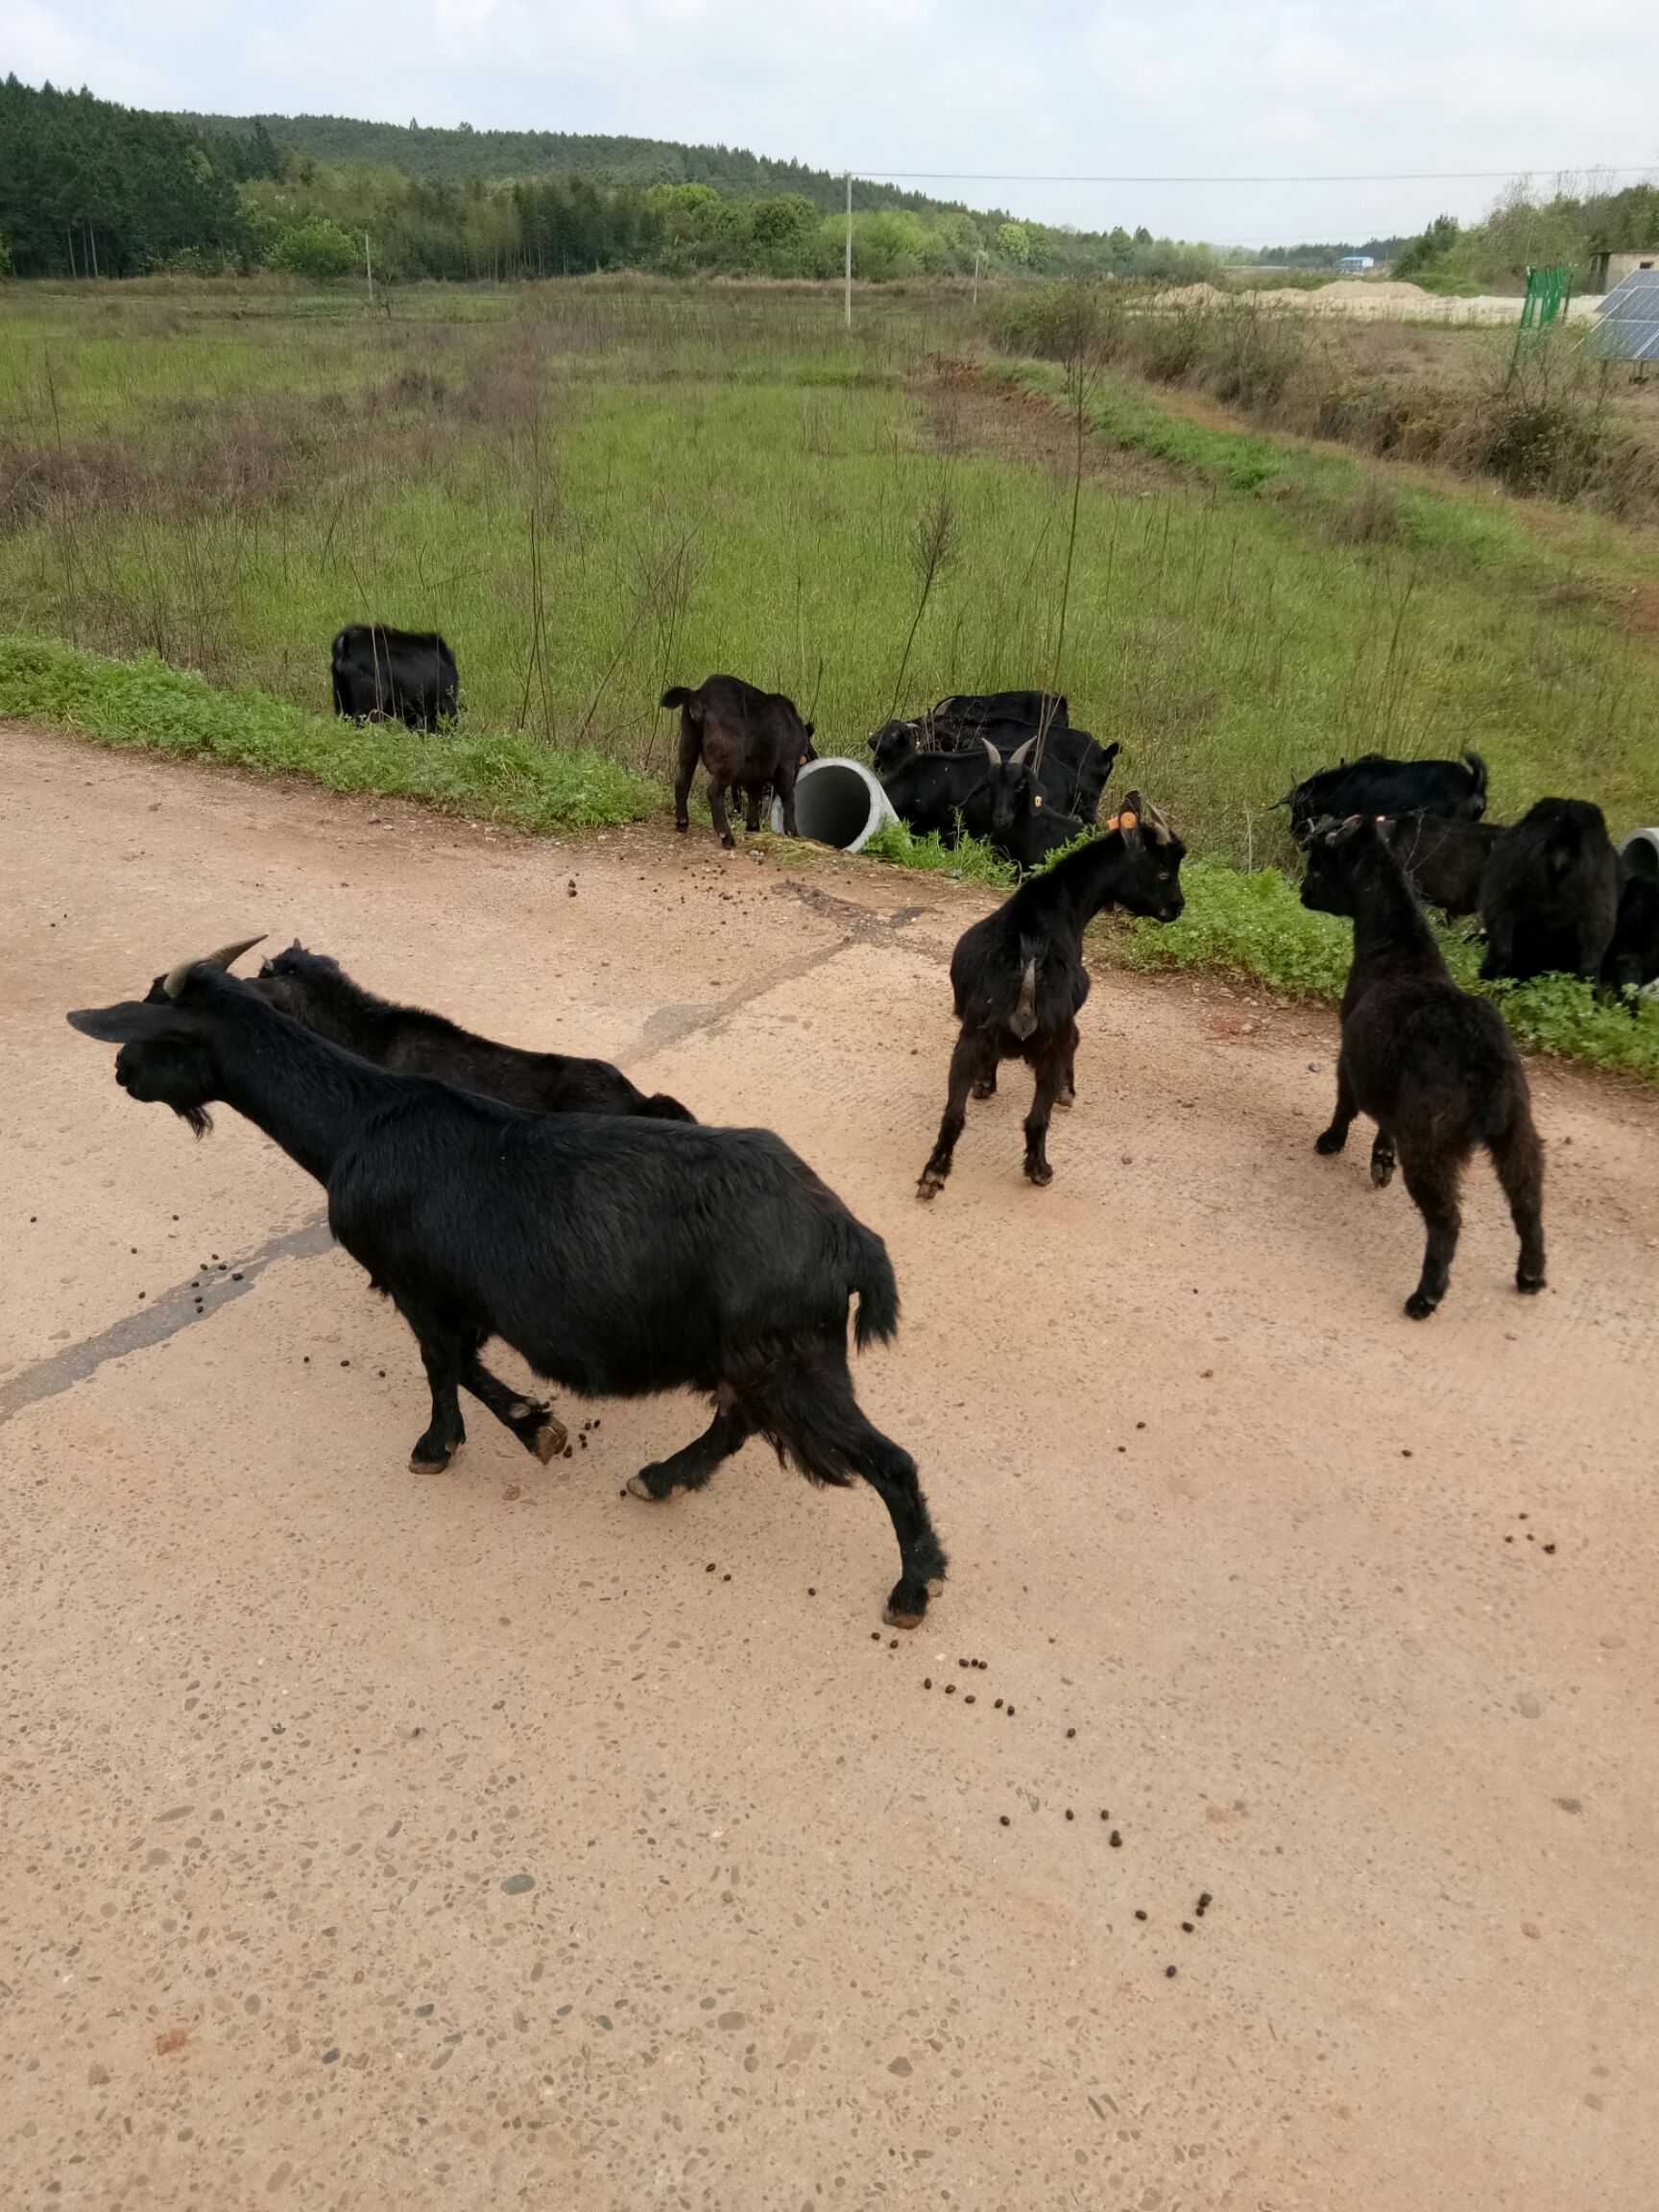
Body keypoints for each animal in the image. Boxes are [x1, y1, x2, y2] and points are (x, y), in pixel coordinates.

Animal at [925, 796, 1185, 1203]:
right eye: (1162, 872)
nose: (1178, 906)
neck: (1061, 900)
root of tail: (1026, 987)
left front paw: (985, 1084)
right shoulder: (1071, 1020)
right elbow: (1078, 1040)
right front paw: (1067, 1091)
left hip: (968, 1040)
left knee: (953, 1114)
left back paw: (933, 1176)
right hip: (1050, 1045)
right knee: (1037, 1118)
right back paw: (1040, 1170)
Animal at [1300, 823, 1548, 1318]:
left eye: (1319, 867)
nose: (1300, 891)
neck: (1400, 950)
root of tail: (1485, 1068)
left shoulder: (1351, 1055)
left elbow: (1346, 1104)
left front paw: (1331, 1142)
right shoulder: (1388, 1083)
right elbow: (1383, 1123)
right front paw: (1380, 1159)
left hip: (1431, 1139)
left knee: (1447, 1219)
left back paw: (1426, 1295)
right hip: (1516, 1129)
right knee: (1527, 1198)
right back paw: (1530, 1274)